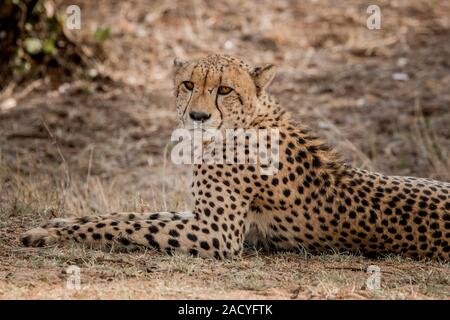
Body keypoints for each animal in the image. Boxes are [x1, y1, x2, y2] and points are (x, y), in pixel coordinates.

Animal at [21, 53, 450, 262]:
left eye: (224, 89)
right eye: (188, 84)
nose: (198, 116)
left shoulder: (216, 233)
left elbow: (126, 226)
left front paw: (49, 233)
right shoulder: (201, 216)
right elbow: (131, 215)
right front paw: (60, 222)